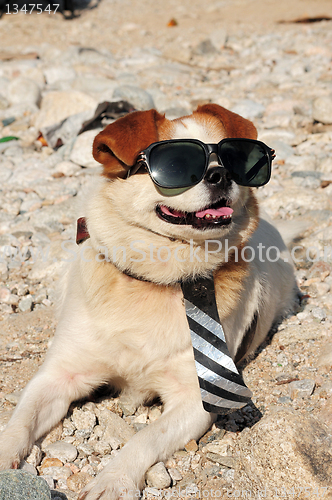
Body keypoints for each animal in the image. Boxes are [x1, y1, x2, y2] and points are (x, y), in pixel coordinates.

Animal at [0, 104, 296, 500]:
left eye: (233, 159)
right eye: (177, 164)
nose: (220, 175)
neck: (157, 282)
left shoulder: (198, 398)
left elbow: (144, 439)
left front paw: (112, 481)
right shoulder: (59, 376)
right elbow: (20, 421)